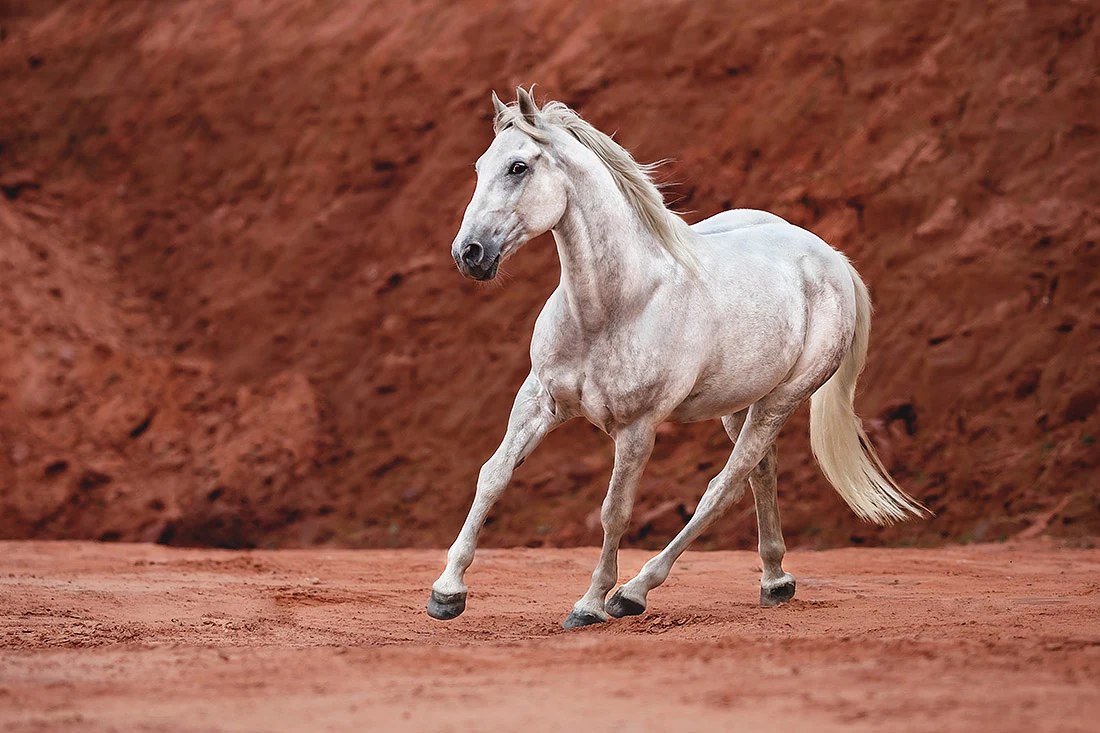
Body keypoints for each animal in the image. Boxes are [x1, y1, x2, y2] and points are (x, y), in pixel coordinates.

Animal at [424, 88, 924, 625]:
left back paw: (634, 592)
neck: (613, 307)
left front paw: (590, 603)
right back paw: (774, 581)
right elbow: (492, 475)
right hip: (739, 405)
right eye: (480, 166)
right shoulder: (540, 401)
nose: (469, 253)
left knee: (724, 486)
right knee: (761, 474)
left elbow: (614, 510)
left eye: (518, 167)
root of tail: (831, 259)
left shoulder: (637, 428)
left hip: (781, 401)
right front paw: (447, 592)